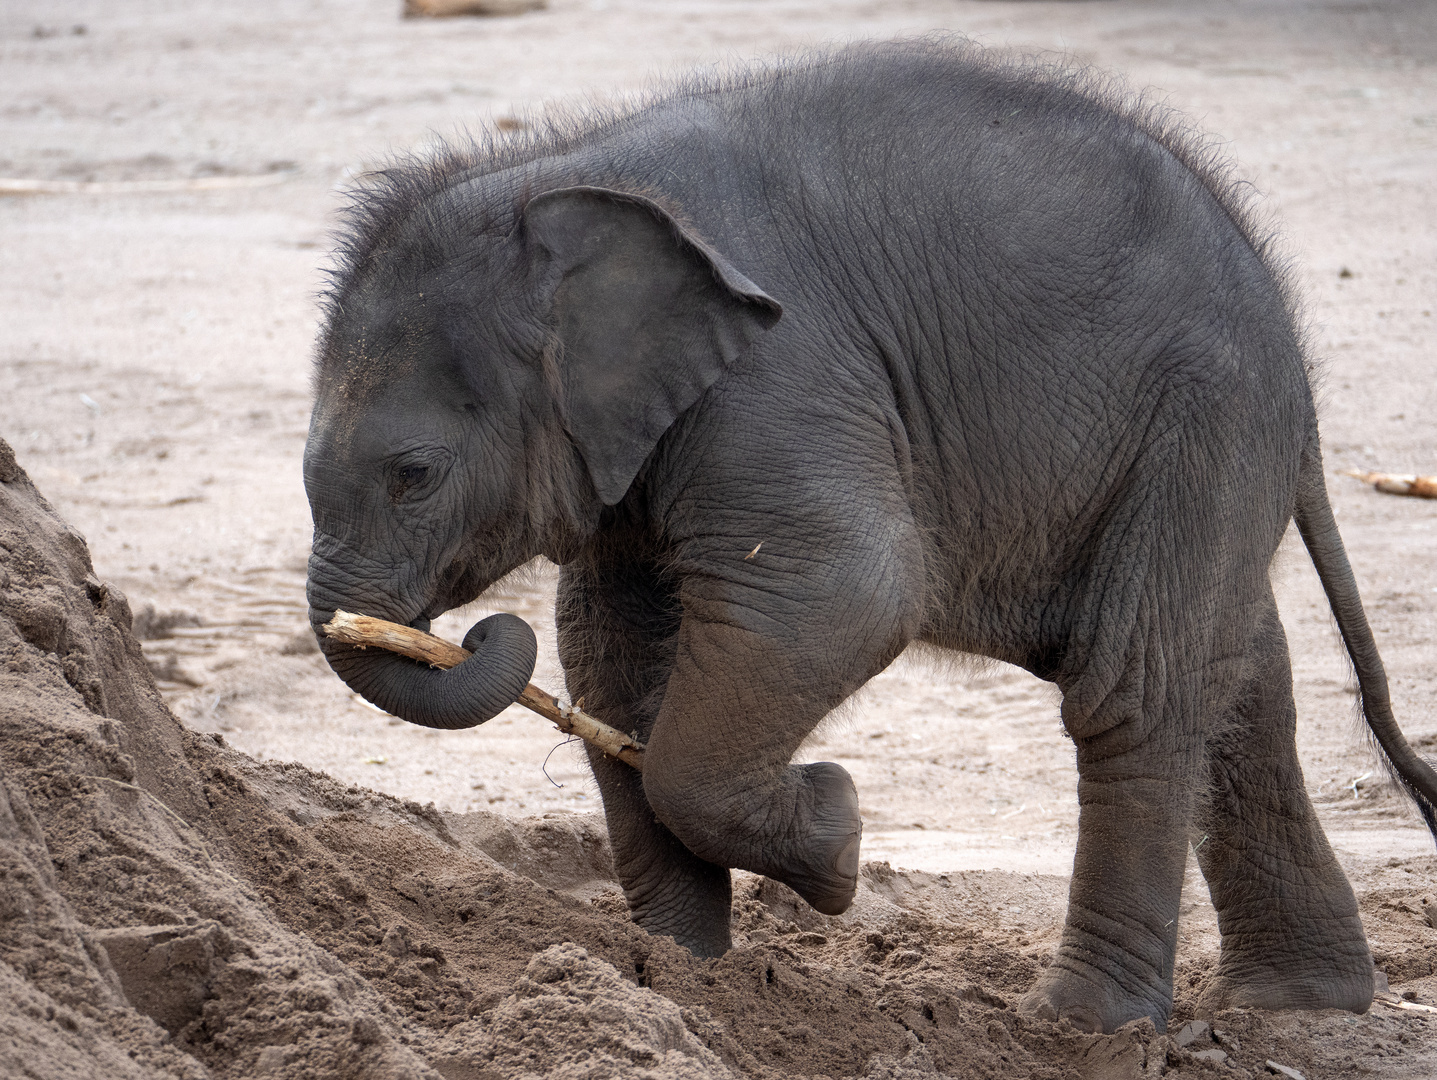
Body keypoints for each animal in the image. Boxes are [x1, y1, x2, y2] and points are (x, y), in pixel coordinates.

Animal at [306, 42, 1437, 1034]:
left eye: (414, 475)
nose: (462, 631)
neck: (560, 173)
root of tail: (1285, 327)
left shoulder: (783, 372)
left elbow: (845, 593)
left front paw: (838, 840)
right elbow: (611, 659)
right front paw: (680, 972)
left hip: (1202, 416)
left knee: (1136, 689)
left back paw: (1084, 1029)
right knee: (1237, 678)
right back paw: (1297, 1006)